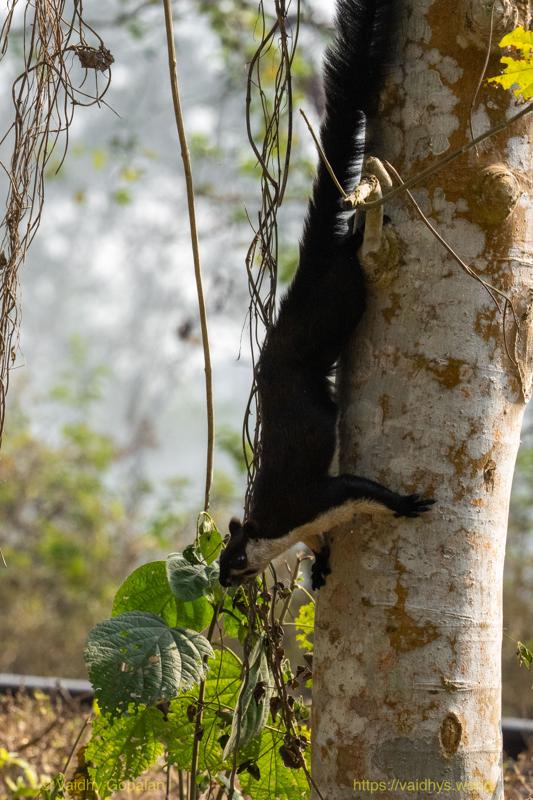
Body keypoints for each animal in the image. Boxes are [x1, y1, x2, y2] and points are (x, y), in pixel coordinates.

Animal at [219, 0, 435, 591]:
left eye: (235, 558)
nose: (222, 581)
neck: (273, 527)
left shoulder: (309, 501)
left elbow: (362, 490)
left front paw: (406, 503)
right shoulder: (308, 523)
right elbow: (320, 542)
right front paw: (320, 567)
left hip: (336, 303)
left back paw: (362, 237)